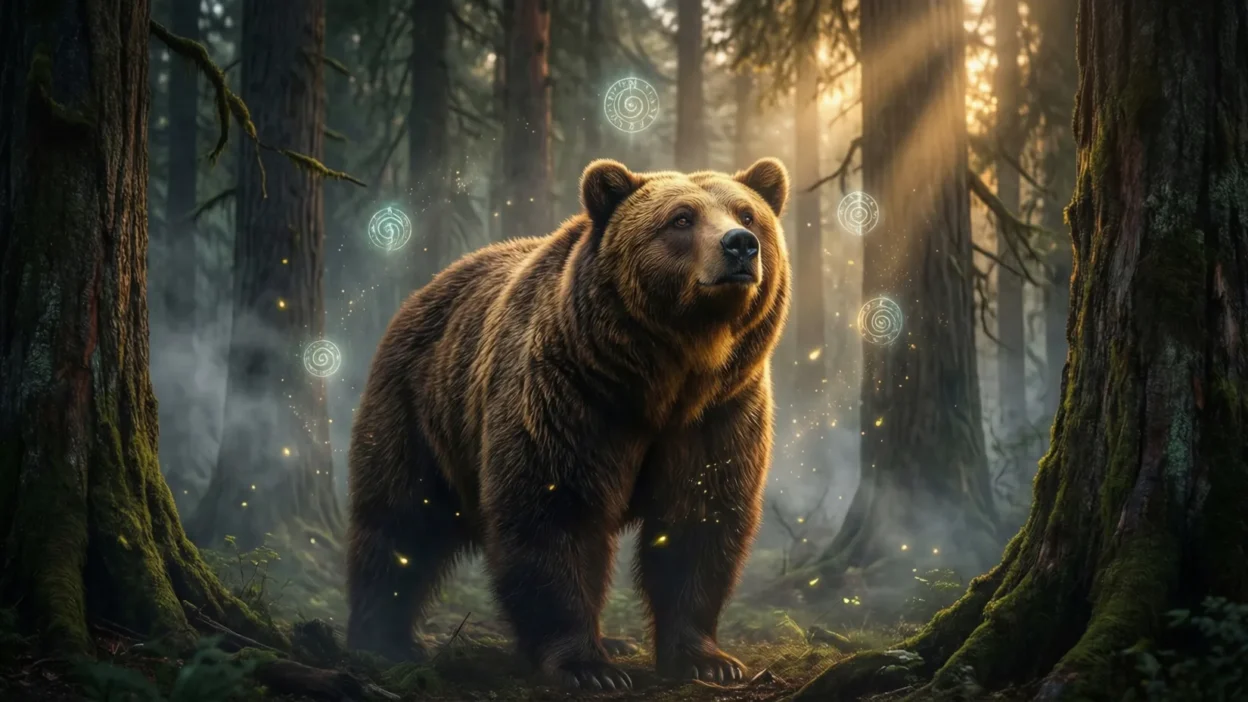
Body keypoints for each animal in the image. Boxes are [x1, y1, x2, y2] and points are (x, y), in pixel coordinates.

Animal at [345, 157, 791, 690]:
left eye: (747, 214)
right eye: (681, 218)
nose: (740, 245)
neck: (666, 378)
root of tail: (425, 289)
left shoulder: (720, 411)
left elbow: (699, 519)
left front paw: (707, 659)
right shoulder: (570, 398)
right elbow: (554, 515)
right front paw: (589, 667)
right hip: (418, 409)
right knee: (397, 520)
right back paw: (380, 639)